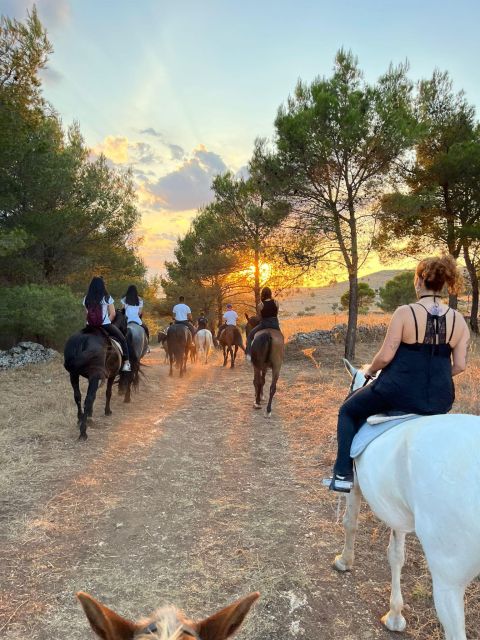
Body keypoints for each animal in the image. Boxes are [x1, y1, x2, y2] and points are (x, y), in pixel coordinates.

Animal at [63, 310, 128, 440]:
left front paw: (89, 415)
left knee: (78, 396)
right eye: (126, 319)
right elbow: (108, 393)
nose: (127, 331)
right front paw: (107, 411)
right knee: (88, 399)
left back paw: (80, 420)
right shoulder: (111, 376)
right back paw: (83, 432)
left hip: (74, 375)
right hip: (93, 375)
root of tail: (83, 339)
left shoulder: (92, 378)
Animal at [332, 358, 480, 636]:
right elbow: (396, 555)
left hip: (448, 580)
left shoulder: (354, 485)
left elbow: (350, 523)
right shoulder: (396, 510)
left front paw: (344, 561)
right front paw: (395, 615)